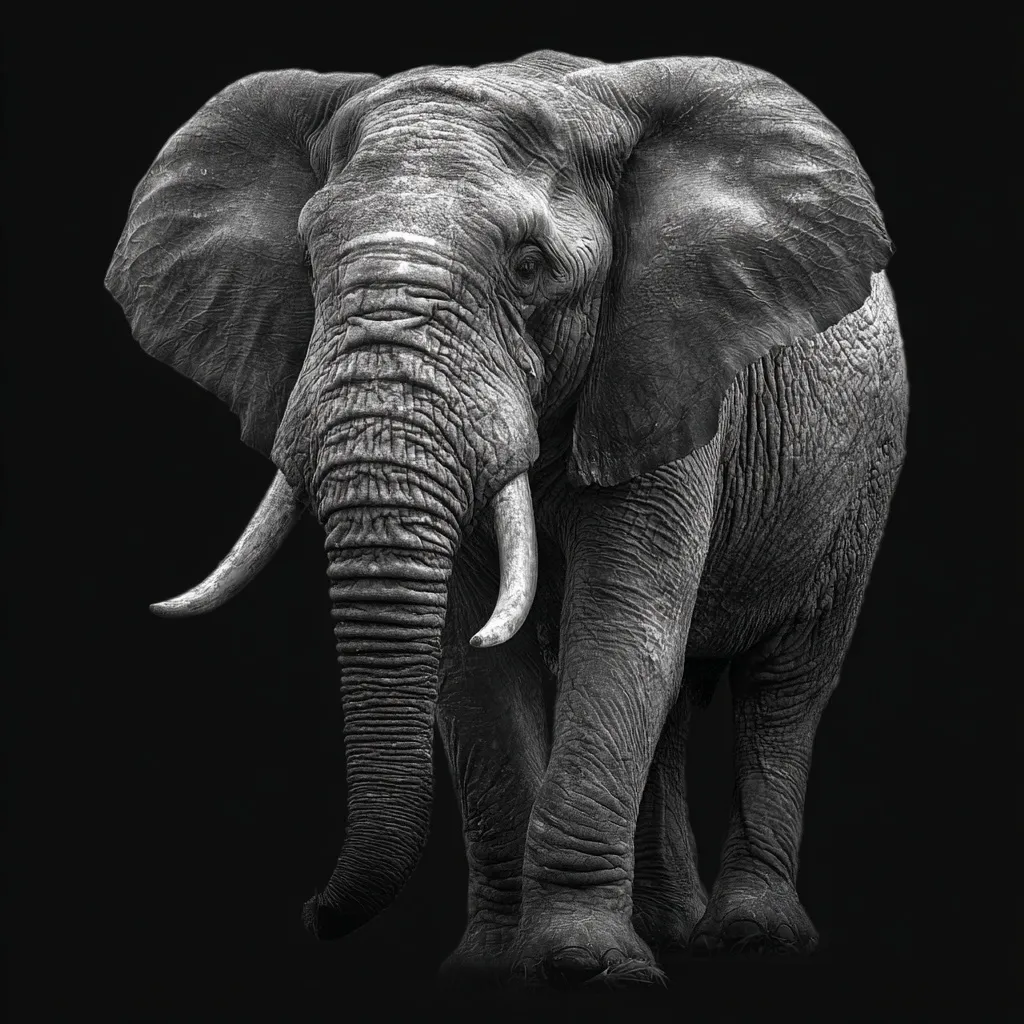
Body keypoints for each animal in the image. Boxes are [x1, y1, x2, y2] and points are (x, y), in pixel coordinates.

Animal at [105, 49, 908, 986]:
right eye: (308, 259)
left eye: (529, 267)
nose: (311, 913)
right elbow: (475, 663)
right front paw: (494, 966)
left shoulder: (663, 371)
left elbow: (617, 627)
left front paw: (583, 966)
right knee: (674, 702)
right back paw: (672, 928)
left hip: (863, 478)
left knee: (784, 687)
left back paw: (749, 938)